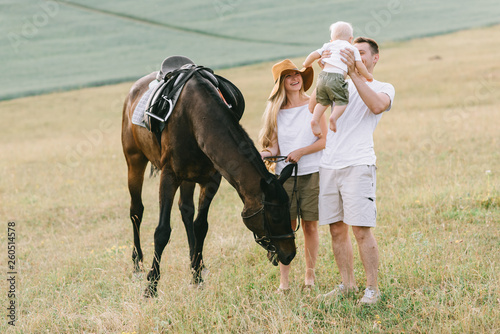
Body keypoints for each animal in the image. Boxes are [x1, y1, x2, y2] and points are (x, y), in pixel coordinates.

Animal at [121, 63, 296, 298]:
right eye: (275, 217)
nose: (290, 254)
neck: (195, 117)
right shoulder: (169, 176)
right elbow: (162, 231)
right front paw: (151, 285)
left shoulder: (212, 179)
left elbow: (200, 225)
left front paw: (196, 275)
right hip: (135, 161)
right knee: (136, 211)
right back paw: (137, 265)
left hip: (189, 176)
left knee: (186, 210)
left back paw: (195, 261)